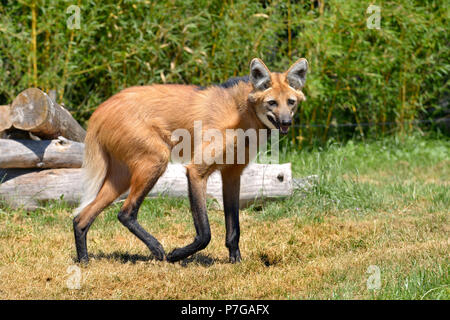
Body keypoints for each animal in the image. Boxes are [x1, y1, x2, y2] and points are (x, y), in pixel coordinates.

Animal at [74, 57, 308, 262]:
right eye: (272, 103)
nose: (286, 122)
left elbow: (234, 227)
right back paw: (158, 250)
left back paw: (84, 261)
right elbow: (205, 233)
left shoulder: (232, 174)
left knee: (80, 218)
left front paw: (236, 260)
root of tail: (100, 110)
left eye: (290, 102)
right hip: (155, 162)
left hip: (121, 178)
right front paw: (177, 255)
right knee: (125, 213)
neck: (241, 113)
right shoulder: (196, 171)